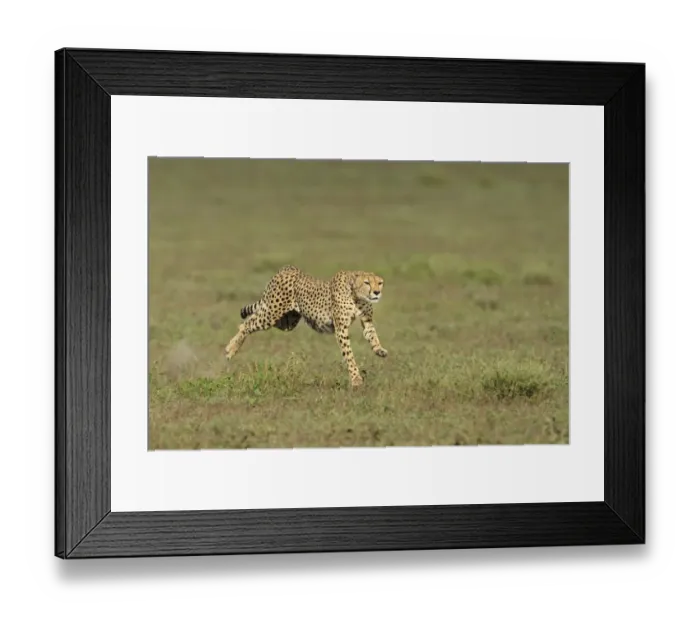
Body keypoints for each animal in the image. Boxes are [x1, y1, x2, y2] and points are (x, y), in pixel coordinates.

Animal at [224, 265, 388, 387]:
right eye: (367, 282)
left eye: (379, 283)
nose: (377, 292)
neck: (357, 296)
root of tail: (287, 268)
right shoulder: (341, 328)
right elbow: (349, 354)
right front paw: (356, 378)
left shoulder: (367, 321)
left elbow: (372, 335)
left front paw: (379, 350)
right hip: (272, 313)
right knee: (247, 324)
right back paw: (231, 349)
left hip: (286, 322)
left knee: (250, 319)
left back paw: (231, 346)